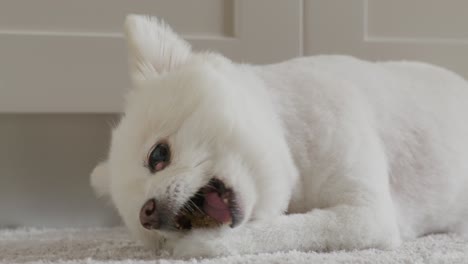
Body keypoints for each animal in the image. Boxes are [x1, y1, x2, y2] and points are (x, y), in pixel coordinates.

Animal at [90, 14, 468, 258]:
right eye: (143, 222)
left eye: (157, 156)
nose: (147, 212)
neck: (290, 134)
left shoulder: (368, 215)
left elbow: (293, 228)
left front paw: (206, 244)